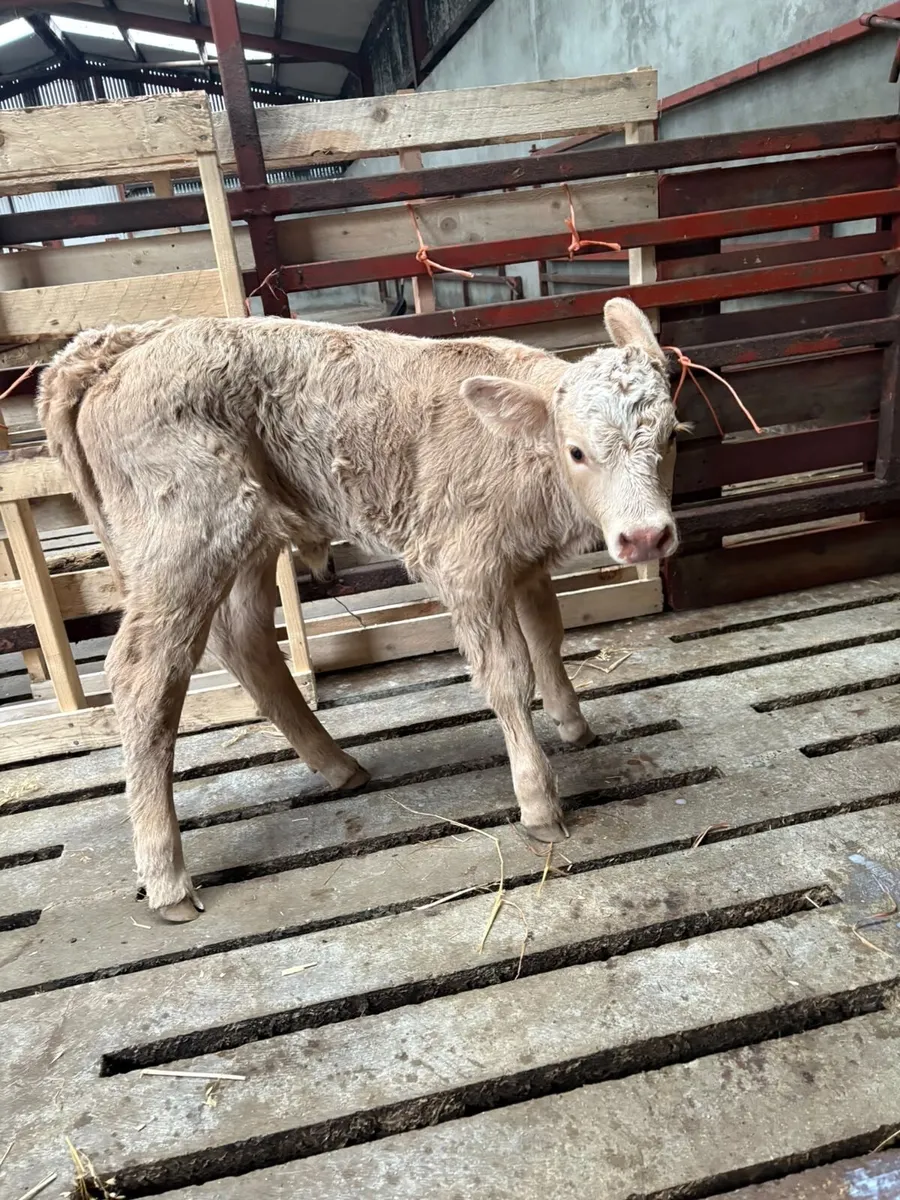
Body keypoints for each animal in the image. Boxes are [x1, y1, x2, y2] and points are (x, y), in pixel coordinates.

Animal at [39, 296, 679, 922]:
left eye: (672, 435)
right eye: (577, 451)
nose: (646, 537)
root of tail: (120, 345)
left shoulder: (523, 562)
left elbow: (549, 636)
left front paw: (574, 725)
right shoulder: (467, 566)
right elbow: (507, 677)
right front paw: (539, 802)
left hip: (246, 536)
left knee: (242, 638)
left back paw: (339, 766)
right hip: (185, 535)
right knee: (144, 675)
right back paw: (168, 881)